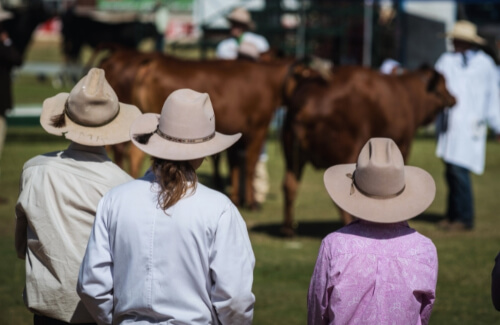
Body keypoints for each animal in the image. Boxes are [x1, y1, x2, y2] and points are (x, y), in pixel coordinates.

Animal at [127, 53, 296, 208]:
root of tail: (152, 62)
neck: (269, 81)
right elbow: (250, 165)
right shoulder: (259, 128)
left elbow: (234, 165)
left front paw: (237, 198)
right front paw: (251, 202)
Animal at [282, 64, 458, 235]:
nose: (453, 98)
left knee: (289, 185)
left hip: (292, 155)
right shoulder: (404, 144)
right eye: (443, 84)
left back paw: (288, 229)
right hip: (348, 151)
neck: (408, 94)